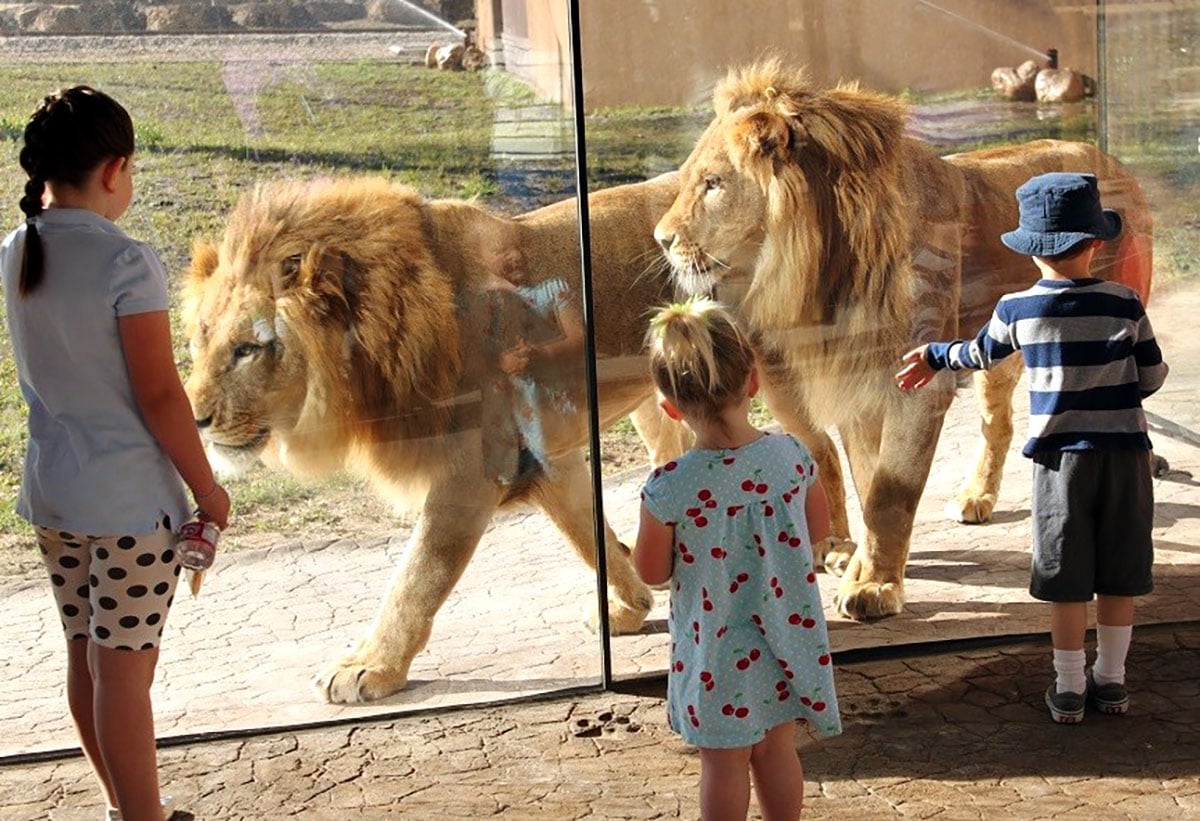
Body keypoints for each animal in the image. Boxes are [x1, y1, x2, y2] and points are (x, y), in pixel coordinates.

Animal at [177, 172, 686, 700]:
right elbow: (588, 533)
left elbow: (417, 575)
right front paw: (629, 604)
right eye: (198, 341)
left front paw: (369, 665)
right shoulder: (546, 459)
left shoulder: (473, 472)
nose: (195, 420)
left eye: (247, 349)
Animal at [657, 60, 1152, 619]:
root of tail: (1106, 156)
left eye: (713, 183)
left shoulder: (916, 384)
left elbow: (891, 494)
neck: (827, 269)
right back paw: (974, 497)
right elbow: (870, 478)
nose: (661, 239)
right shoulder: (856, 381)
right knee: (997, 424)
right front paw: (867, 566)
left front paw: (873, 586)